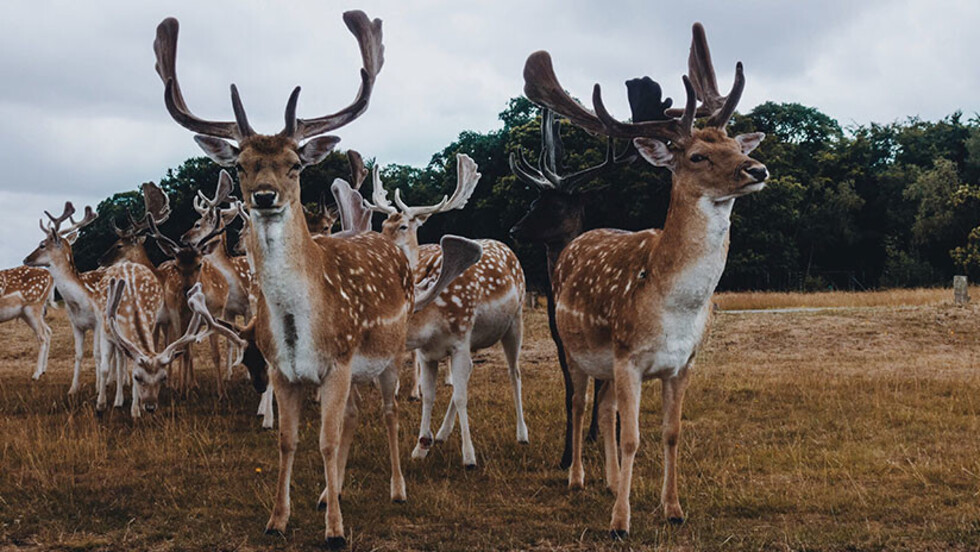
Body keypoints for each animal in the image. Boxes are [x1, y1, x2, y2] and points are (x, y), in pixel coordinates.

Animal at [153, 11, 483, 546]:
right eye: (241, 165)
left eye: (294, 164)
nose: (264, 195)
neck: (300, 325)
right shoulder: (283, 371)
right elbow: (289, 442)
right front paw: (278, 519)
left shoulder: (339, 362)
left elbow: (325, 442)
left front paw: (335, 531)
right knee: (353, 415)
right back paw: (332, 493)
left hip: (389, 354)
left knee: (388, 413)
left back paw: (396, 488)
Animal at [366, 155, 529, 468]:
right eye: (382, 224)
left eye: (403, 226)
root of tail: (508, 247)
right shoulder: (430, 352)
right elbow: (431, 396)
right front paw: (420, 446)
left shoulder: (460, 341)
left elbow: (462, 395)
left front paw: (469, 457)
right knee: (467, 377)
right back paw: (441, 434)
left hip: (515, 321)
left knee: (514, 372)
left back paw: (522, 434)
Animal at [522, 22, 769, 538]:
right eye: (697, 156)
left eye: (737, 147)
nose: (757, 168)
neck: (672, 307)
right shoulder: (628, 356)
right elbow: (632, 437)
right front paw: (621, 522)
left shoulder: (683, 363)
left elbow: (670, 433)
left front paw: (672, 509)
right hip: (575, 348)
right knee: (580, 403)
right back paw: (578, 478)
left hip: (605, 362)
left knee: (604, 409)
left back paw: (613, 482)